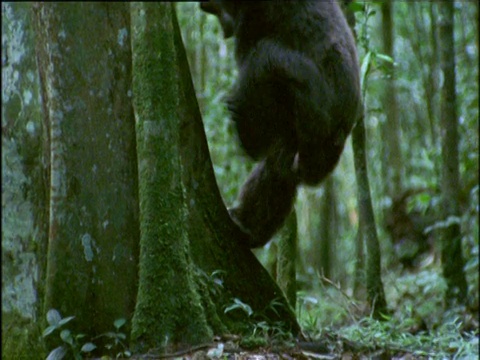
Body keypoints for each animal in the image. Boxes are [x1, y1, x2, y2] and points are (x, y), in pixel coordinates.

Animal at [201, 0, 362, 248]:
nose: (206, 7)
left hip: (317, 113)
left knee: (265, 57)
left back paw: (249, 132)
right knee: (279, 165)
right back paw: (248, 225)